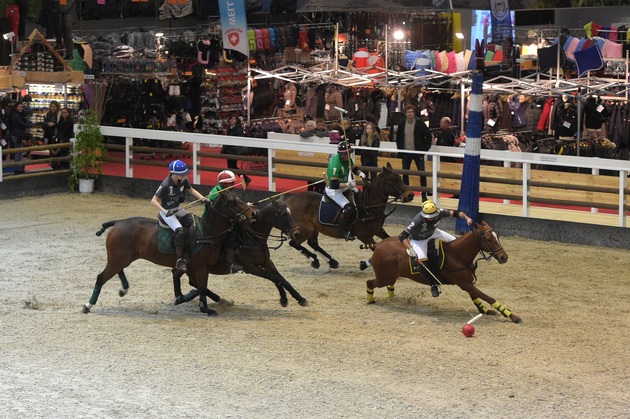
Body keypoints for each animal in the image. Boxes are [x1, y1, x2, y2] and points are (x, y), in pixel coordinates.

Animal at [84, 192, 256, 316]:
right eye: (232, 202)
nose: (253, 213)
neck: (208, 231)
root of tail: (117, 223)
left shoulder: (192, 267)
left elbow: (197, 286)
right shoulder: (201, 267)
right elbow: (201, 286)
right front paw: (205, 309)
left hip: (121, 258)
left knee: (118, 271)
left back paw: (123, 289)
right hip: (117, 259)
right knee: (101, 277)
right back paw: (88, 305)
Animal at [173, 197, 312, 308]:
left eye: (290, 212)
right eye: (283, 214)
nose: (297, 233)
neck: (253, 238)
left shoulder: (267, 262)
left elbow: (282, 279)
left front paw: (300, 299)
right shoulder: (250, 268)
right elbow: (275, 278)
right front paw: (284, 299)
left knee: (187, 278)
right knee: (186, 278)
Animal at [286, 164, 414, 270]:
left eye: (400, 178)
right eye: (393, 180)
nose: (410, 195)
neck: (368, 206)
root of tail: (289, 200)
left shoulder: (378, 230)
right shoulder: (363, 235)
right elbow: (377, 248)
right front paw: (364, 264)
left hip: (314, 228)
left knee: (312, 243)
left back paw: (332, 261)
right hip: (304, 229)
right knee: (294, 243)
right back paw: (314, 259)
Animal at [366, 223, 524, 324]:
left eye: (498, 237)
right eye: (489, 239)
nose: (504, 257)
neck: (457, 254)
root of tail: (377, 245)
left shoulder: (467, 283)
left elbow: (476, 297)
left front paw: (485, 311)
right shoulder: (464, 283)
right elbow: (487, 297)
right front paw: (512, 316)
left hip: (390, 277)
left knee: (387, 285)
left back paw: (390, 298)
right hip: (384, 277)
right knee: (369, 283)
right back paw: (370, 300)